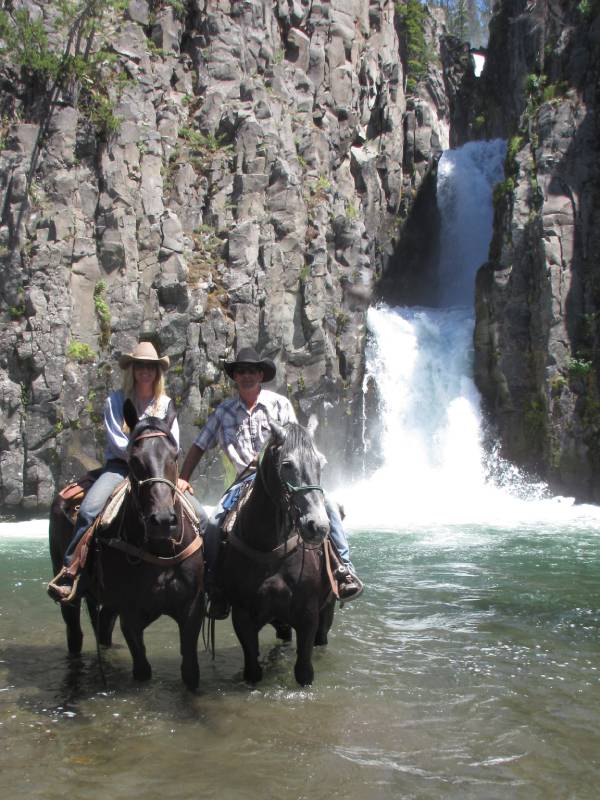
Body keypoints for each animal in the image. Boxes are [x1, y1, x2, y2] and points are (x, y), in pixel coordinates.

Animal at [47, 404, 206, 692]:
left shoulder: (191, 609)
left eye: (175, 455)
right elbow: (142, 670)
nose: (162, 521)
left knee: (102, 631)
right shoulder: (130, 615)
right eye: (134, 459)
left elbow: (190, 672)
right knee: (74, 634)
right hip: (69, 591)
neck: (159, 550)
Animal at [225, 422, 336, 684]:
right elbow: (252, 671)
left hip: (327, 612)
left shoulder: (308, 616)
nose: (318, 526)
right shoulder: (242, 616)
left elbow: (304, 671)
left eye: (320, 464)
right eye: (286, 464)